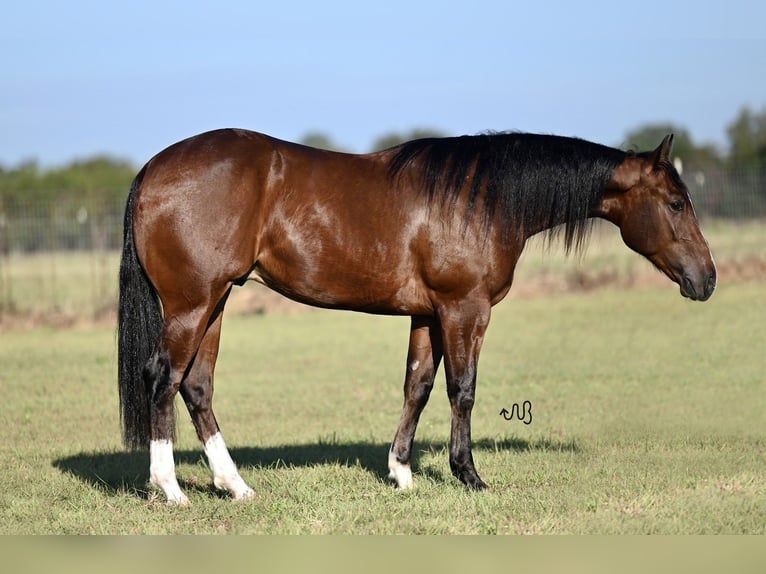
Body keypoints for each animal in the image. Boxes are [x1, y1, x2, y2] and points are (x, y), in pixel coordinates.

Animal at [117, 129, 716, 504]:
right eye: (676, 203)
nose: (707, 279)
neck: (482, 200)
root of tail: (152, 169)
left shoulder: (428, 315)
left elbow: (418, 385)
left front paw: (402, 472)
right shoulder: (464, 308)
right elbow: (462, 390)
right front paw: (469, 475)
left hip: (216, 302)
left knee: (197, 386)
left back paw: (234, 485)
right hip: (192, 304)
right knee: (163, 379)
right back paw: (170, 489)